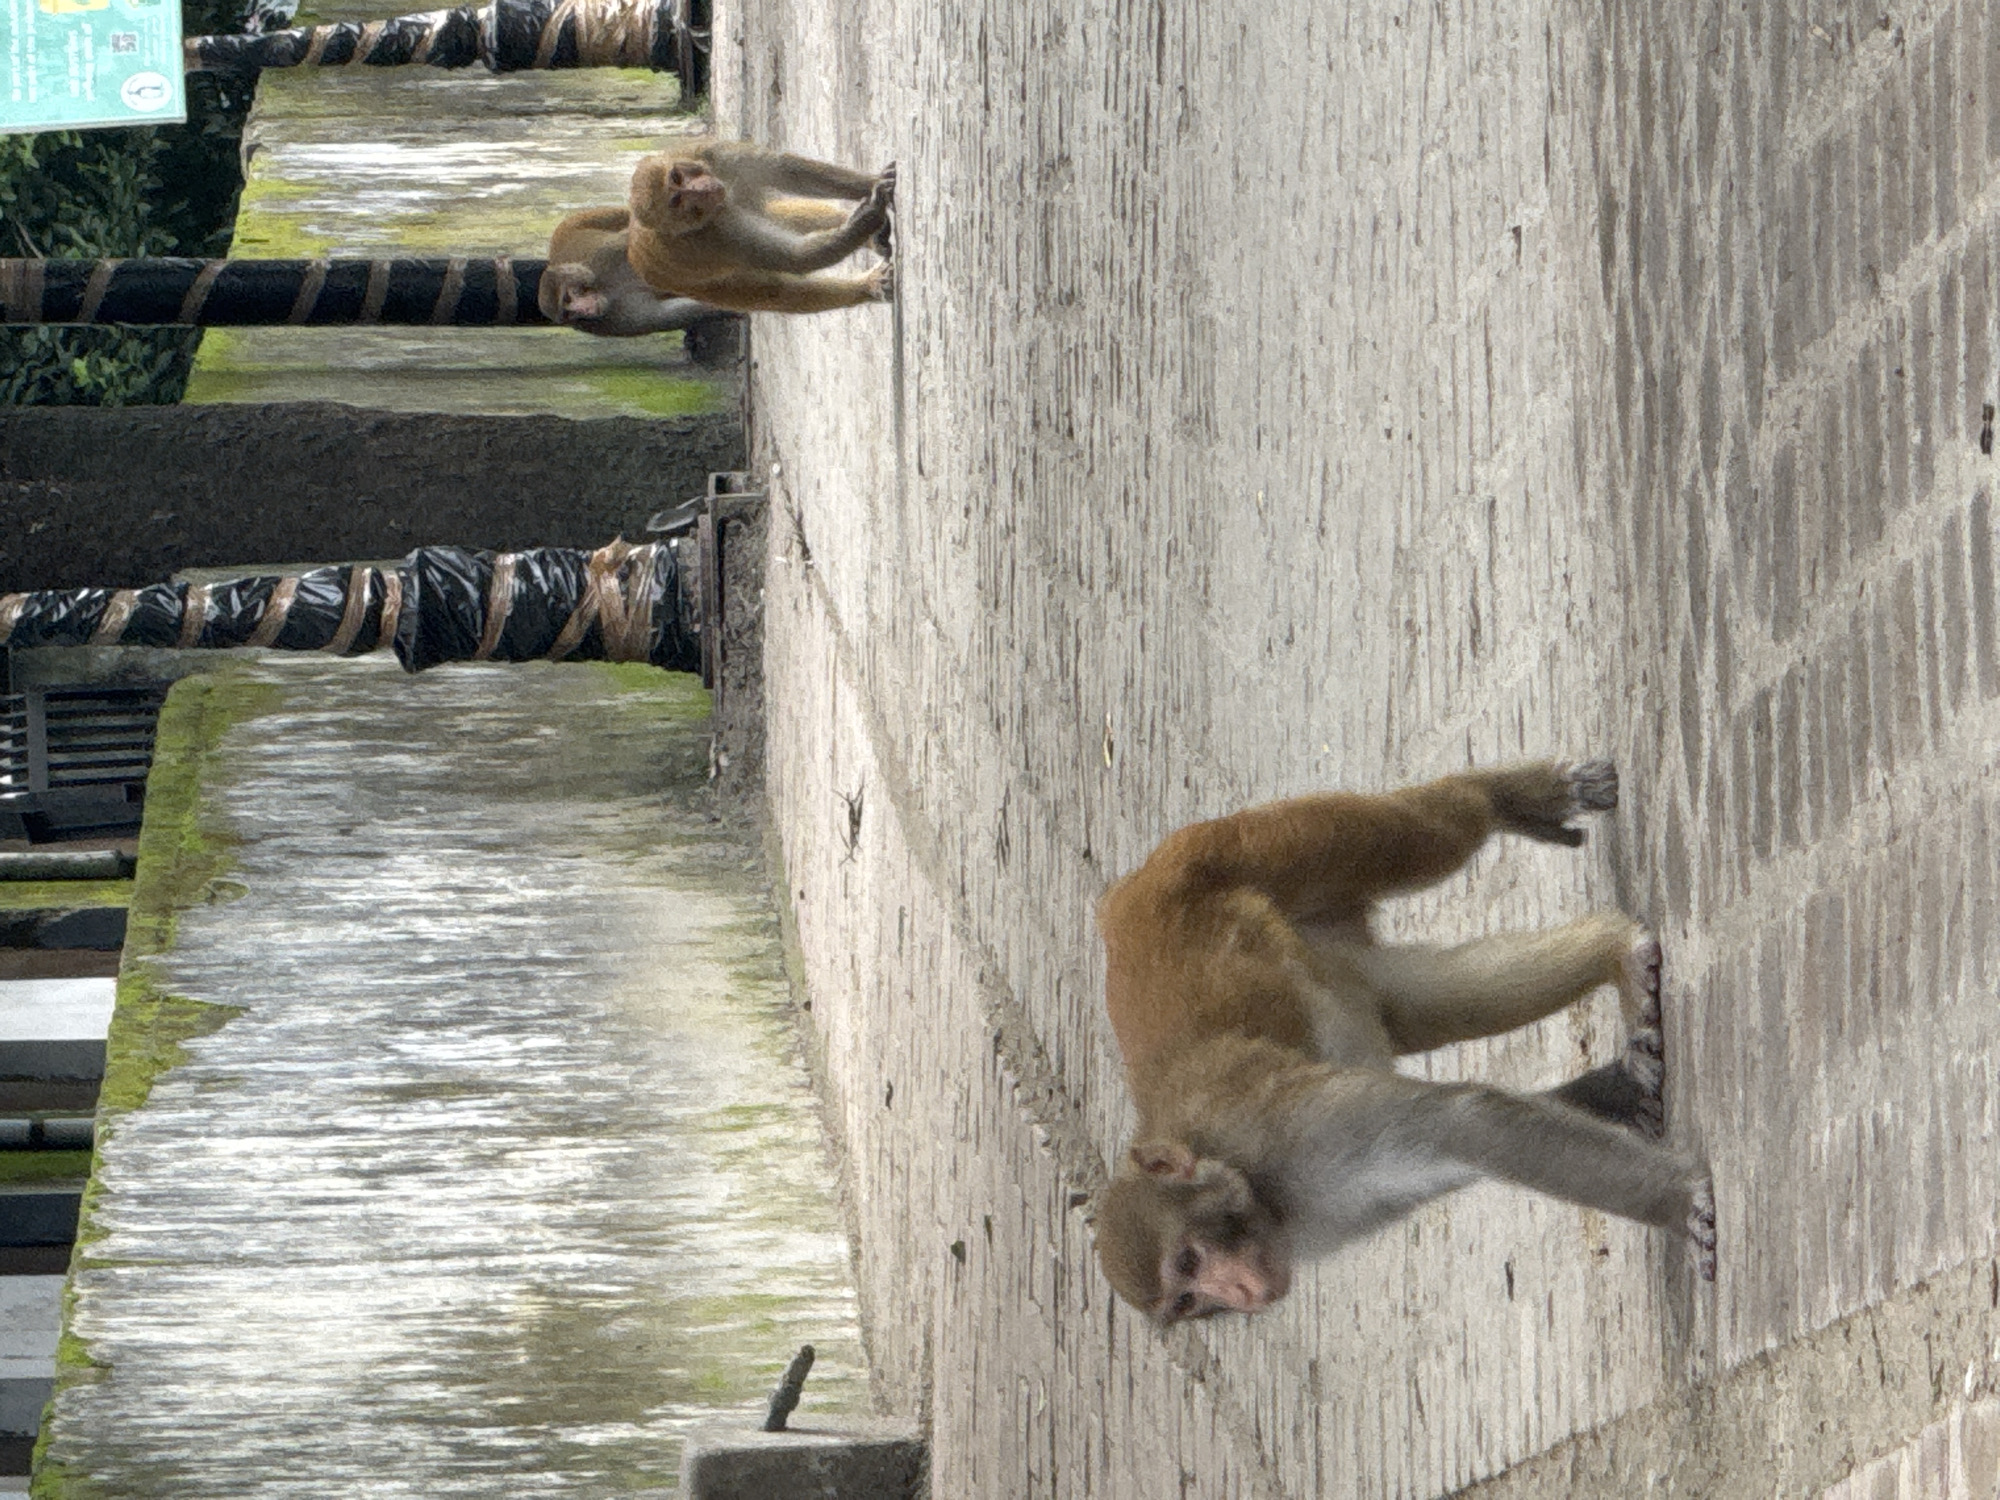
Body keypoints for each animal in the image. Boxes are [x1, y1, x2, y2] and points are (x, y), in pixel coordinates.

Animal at [625, 139, 896, 315]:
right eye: (676, 200)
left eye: (677, 178)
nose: (701, 190)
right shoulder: (714, 237)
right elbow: (794, 258)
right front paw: (866, 220)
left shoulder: (700, 152)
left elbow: (782, 169)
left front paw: (873, 183)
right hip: (700, 287)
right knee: (778, 292)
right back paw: (865, 286)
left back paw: (872, 242)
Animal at [1093, 759, 1717, 1325]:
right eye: (1188, 1299)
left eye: (1189, 1260)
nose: (1243, 1293)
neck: (1254, 1184)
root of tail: (1129, 886)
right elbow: (1458, 1150)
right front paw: (1616, 1090)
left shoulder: (1287, 1135)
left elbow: (1462, 1122)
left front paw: (1679, 1204)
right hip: (1316, 941)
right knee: (1419, 1006)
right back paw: (1616, 950)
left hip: (1246, 847)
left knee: (1432, 833)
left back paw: (1507, 798)